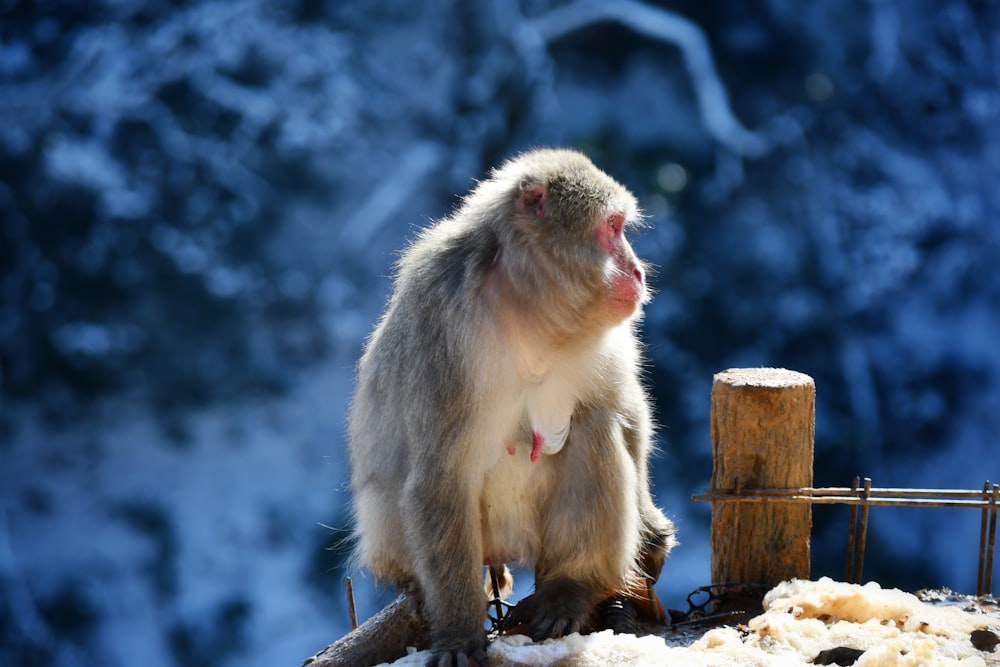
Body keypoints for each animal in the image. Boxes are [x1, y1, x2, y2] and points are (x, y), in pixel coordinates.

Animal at [348, 149, 676, 664]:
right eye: (612, 228)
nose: (639, 271)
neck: (530, 309)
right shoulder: (442, 324)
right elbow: (440, 475)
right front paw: (459, 633)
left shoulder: (611, 335)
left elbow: (628, 419)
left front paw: (653, 537)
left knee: (596, 425)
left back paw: (569, 588)